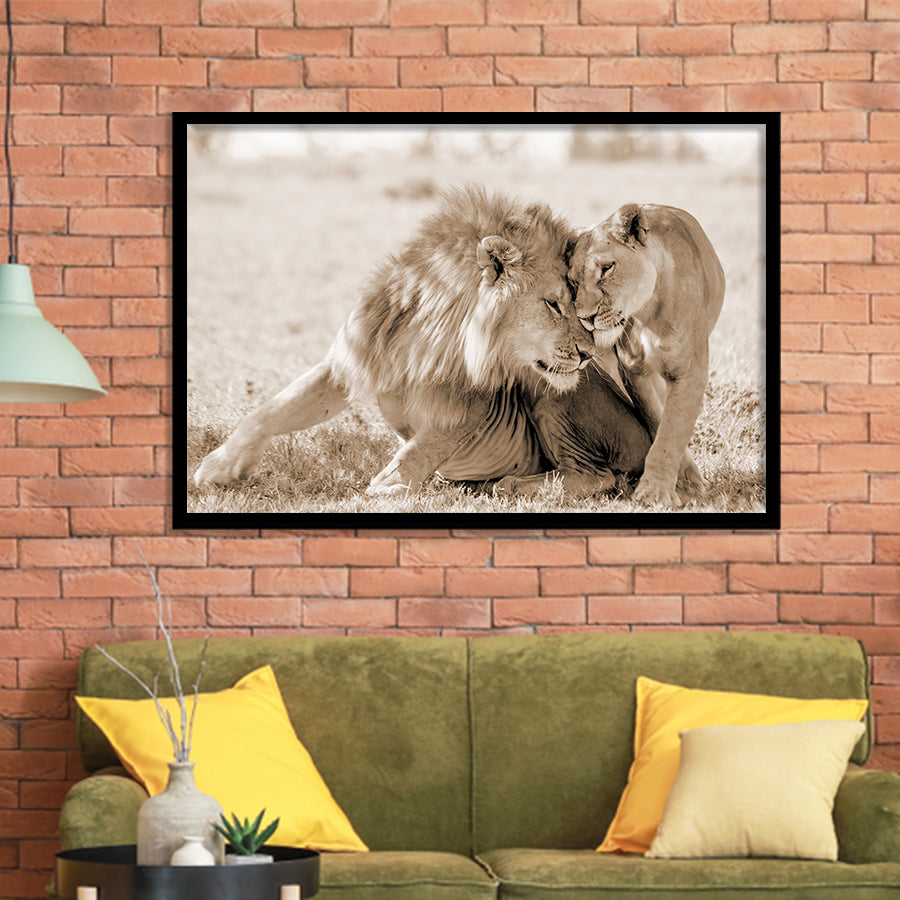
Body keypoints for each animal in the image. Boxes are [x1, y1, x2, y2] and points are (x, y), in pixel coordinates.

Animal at [194, 185, 650, 499]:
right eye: (554, 304)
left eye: (577, 302)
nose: (589, 353)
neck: (428, 337)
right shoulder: (350, 361)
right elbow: (271, 410)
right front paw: (219, 467)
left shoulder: (472, 407)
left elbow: (417, 451)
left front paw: (389, 486)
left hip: (551, 395)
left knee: (598, 475)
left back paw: (510, 483)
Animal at [567, 203, 725, 507]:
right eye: (573, 282)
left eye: (606, 269)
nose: (585, 318)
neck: (647, 312)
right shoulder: (634, 371)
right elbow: (658, 420)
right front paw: (680, 479)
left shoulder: (689, 370)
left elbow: (671, 431)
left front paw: (655, 491)